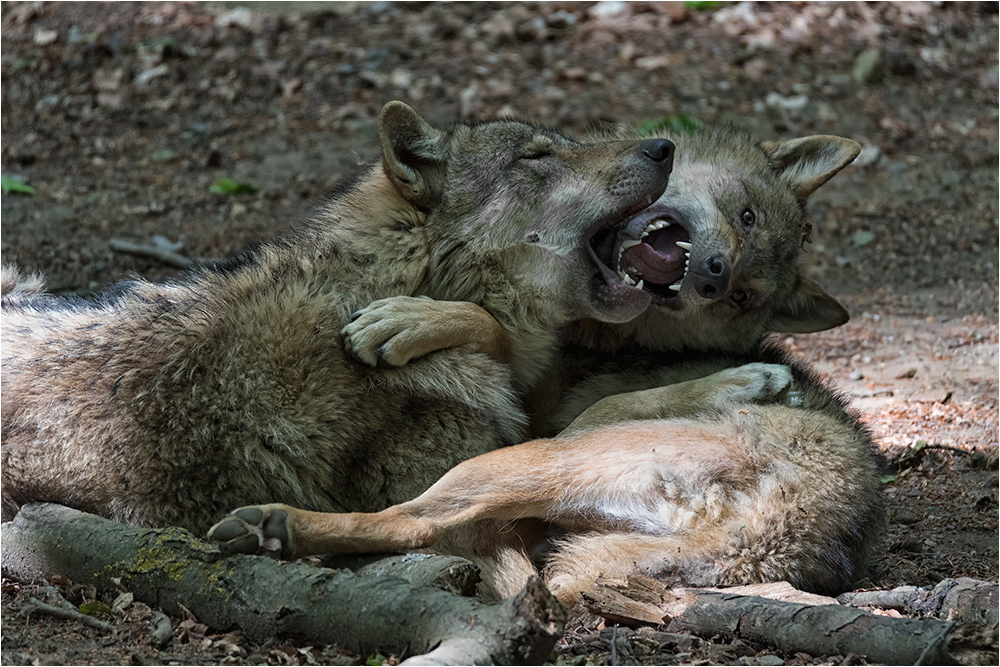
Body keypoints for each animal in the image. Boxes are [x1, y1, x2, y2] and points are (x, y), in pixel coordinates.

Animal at [209, 124, 884, 616]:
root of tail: (793, 521)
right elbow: (495, 331)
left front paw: (406, 321)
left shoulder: (534, 399)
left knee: (413, 521)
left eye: (742, 296)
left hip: (537, 456)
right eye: (746, 217)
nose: (717, 278)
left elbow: (493, 331)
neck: (607, 333)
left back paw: (275, 526)